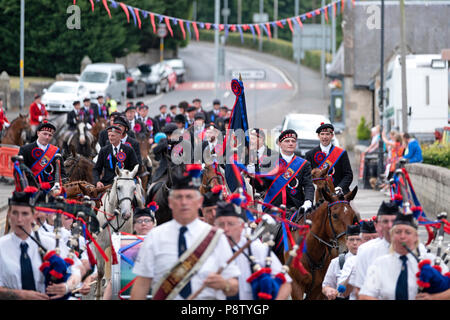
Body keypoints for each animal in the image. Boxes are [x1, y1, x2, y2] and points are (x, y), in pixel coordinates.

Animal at [93, 165, 139, 300]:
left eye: (134, 188)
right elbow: (100, 271)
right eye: (119, 187)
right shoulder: (100, 245)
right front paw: (98, 295)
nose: (126, 214)